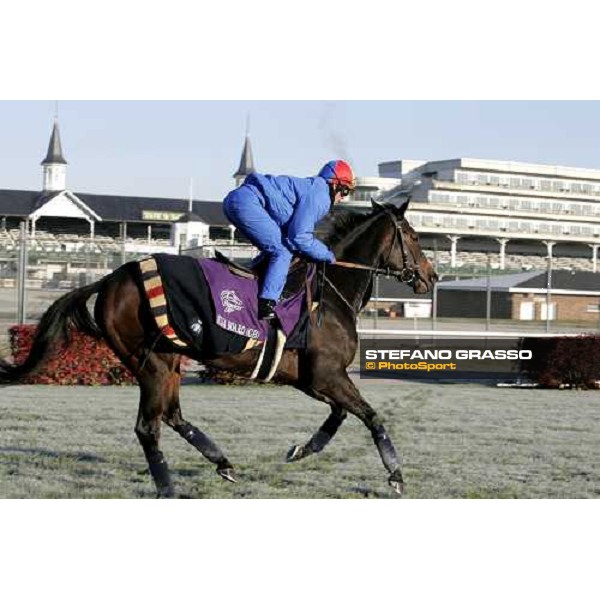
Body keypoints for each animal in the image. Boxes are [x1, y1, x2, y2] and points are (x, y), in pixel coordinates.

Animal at [2, 200, 438, 496]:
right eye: (414, 237)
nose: (431, 277)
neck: (329, 294)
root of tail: (111, 278)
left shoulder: (311, 379)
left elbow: (340, 416)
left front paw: (300, 449)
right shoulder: (327, 375)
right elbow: (371, 416)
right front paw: (395, 474)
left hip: (168, 360)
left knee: (172, 416)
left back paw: (223, 463)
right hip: (152, 362)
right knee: (148, 426)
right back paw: (168, 488)